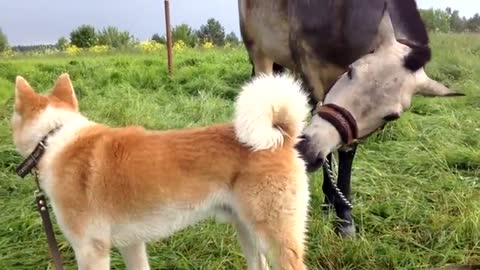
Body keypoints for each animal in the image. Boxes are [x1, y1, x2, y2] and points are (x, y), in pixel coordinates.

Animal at [11, 73, 314, 270]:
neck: (51, 138)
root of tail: (281, 136)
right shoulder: (131, 244)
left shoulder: (90, 249)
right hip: (247, 230)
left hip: (274, 236)